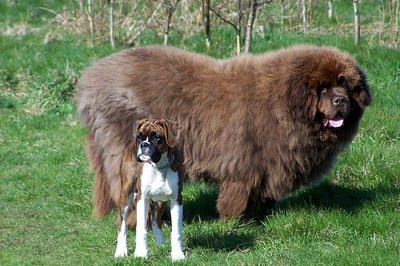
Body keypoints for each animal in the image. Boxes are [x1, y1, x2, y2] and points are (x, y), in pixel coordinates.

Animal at [77, 44, 372, 221]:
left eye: (346, 85)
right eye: (322, 89)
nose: (340, 100)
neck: (285, 105)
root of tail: (91, 79)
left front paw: (256, 216)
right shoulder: (246, 162)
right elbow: (238, 195)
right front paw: (234, 221)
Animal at [114, 118, 186, 260]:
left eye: (156, 138)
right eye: (139, 137)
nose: (143, 145)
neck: (159, 167)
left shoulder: (176, 200)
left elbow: (176, 231)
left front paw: (177, 255)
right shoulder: (142, 199)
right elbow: (141, 229)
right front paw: (141, 254)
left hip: (160, 202)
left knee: (155, 222)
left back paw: (161, 245)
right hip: (126, 196)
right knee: (122, 223)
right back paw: (121, 251)